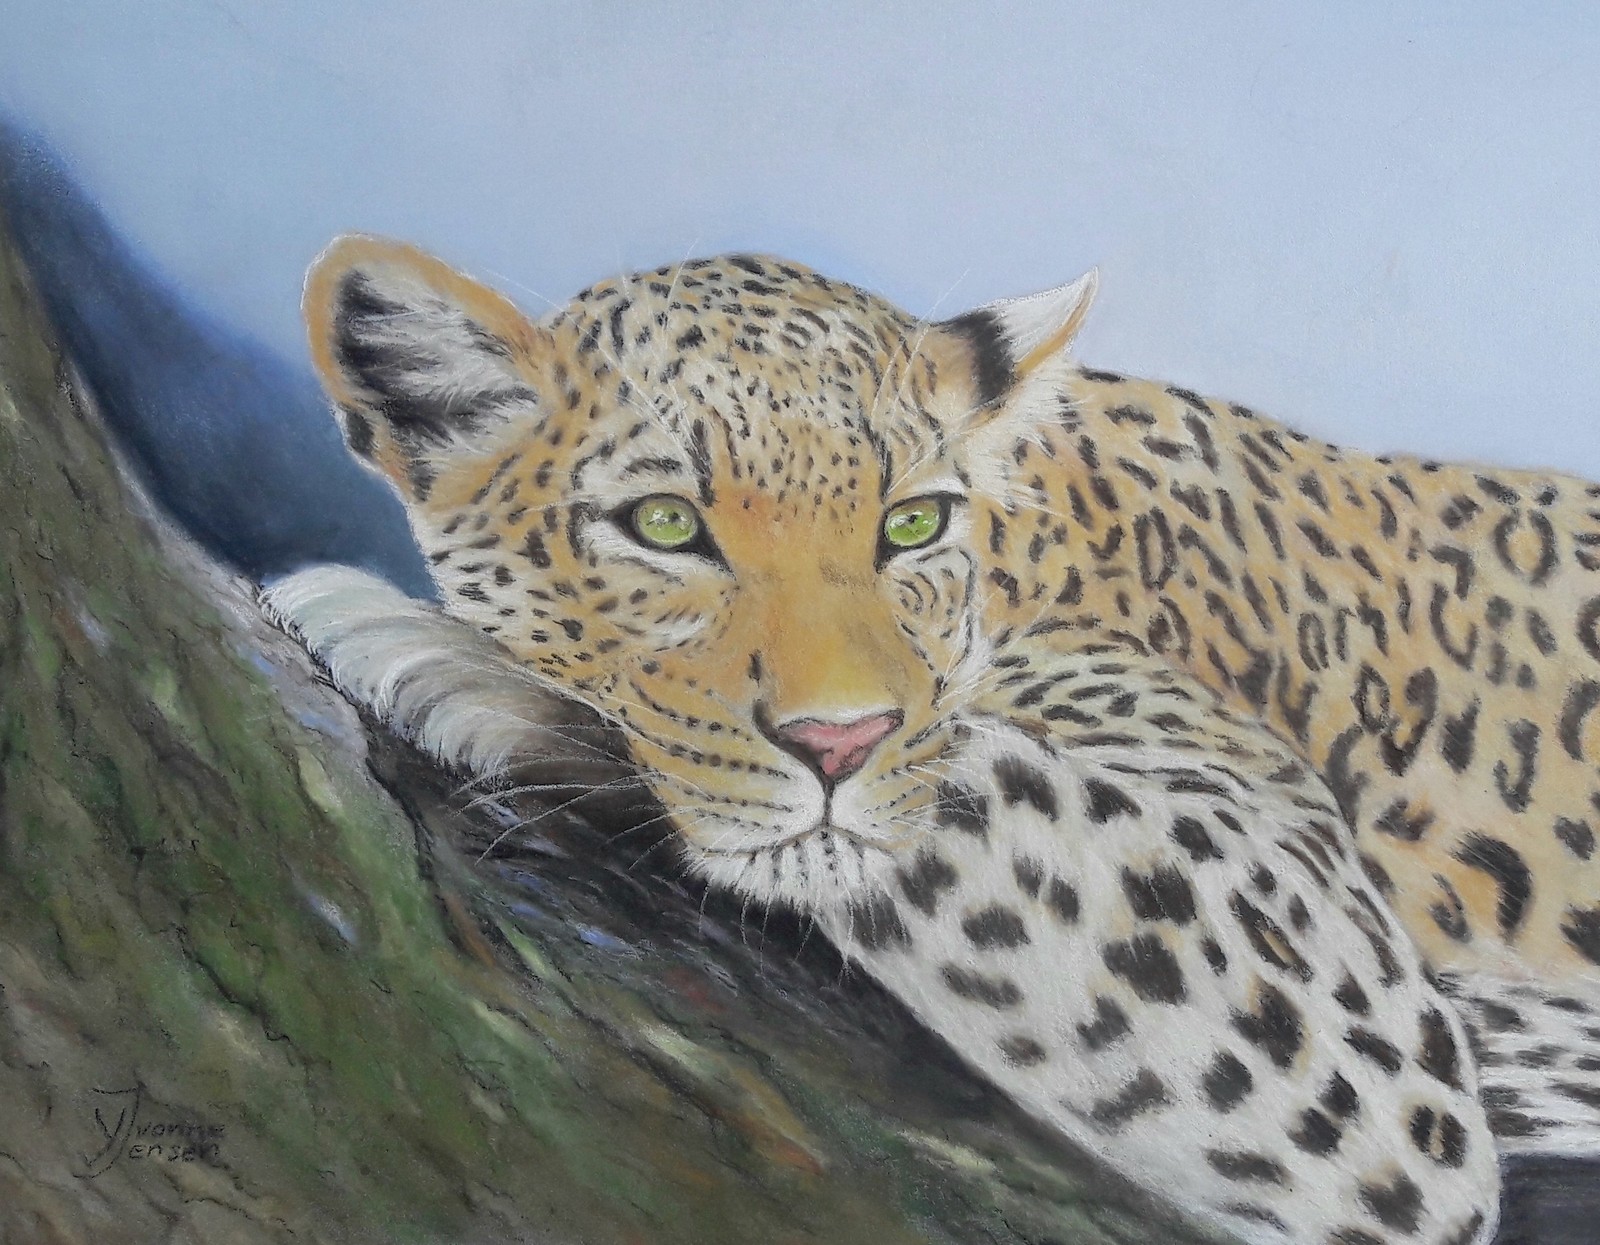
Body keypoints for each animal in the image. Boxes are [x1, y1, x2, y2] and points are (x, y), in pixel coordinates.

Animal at [263, 235, 1600, 1244]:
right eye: (665, 524)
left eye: (909, 524)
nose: (837, 742)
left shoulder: (1359, 1028)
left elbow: (957, 775)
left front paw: (425, 646)